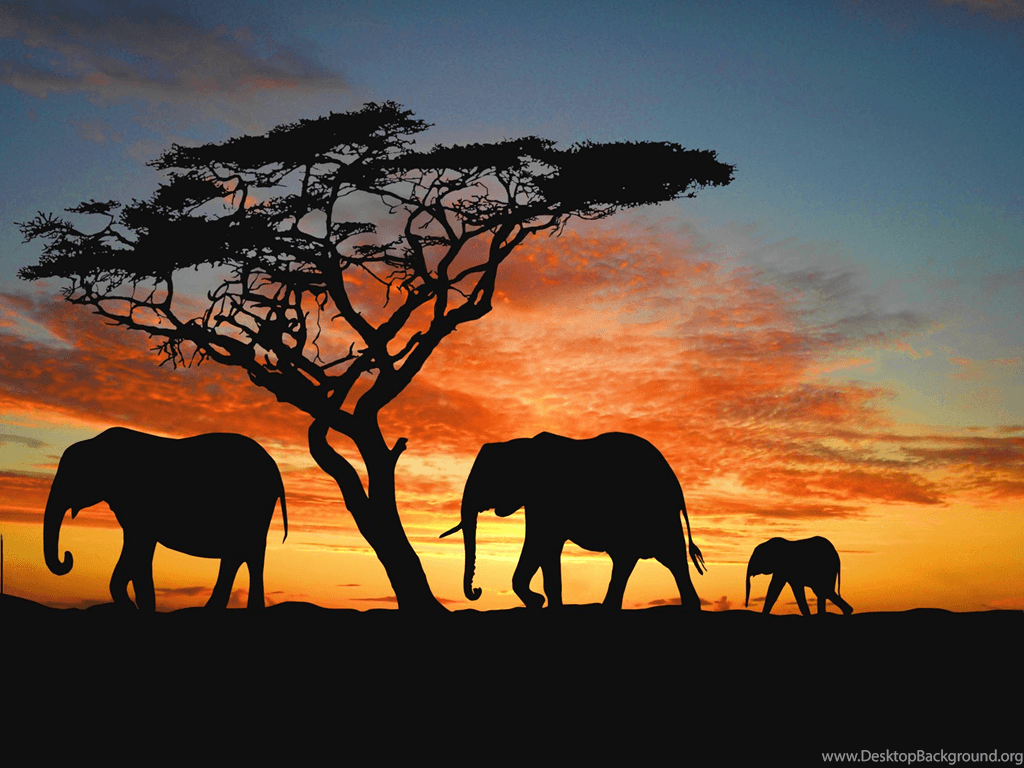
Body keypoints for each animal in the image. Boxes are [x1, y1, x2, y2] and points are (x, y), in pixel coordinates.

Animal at [43, 427, 287, 610]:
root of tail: (275, 470)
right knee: (241, 555)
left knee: (247, 554)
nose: (68, 557)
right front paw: (135, 605)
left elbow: (139, 548)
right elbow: (137, 549)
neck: (96, 443)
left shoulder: (139, 504)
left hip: (253, 507)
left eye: (71, 476)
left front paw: (137, 606)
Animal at [440, 431, 706, 610]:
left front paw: (541, 602)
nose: (477, 590)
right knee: (634, 560)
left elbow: (542, 544)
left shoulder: (547, 499)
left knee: (669, 559)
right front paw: (539, 602)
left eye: (486, 478)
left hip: (657, 514)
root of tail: (676, 485)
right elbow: (540, 548)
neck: (521, 444)